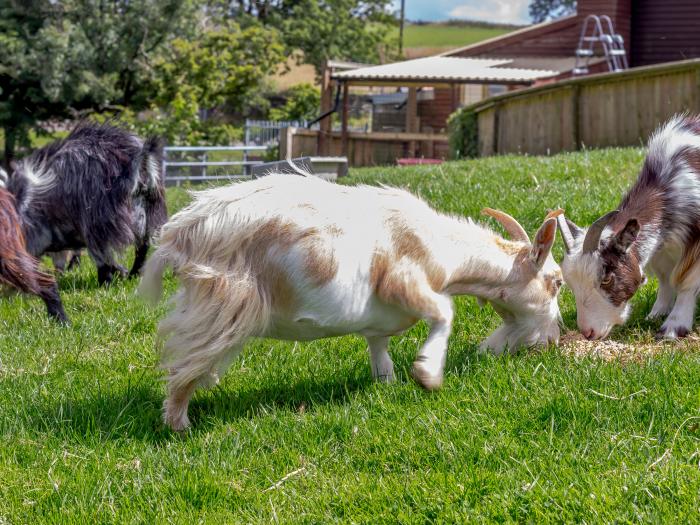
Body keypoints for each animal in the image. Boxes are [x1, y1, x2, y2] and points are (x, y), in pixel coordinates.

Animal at [2, 122, 167, 284]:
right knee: (142, 246)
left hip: (97, 222)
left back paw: (105, 283)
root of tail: (139, 161)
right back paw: (133, 274)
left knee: (103, 257)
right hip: (146, 212)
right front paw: (122, 272)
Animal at [138, 174, 564, 428]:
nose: (555, 339)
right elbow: (445, 311)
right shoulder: (403, 280)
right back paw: (180, 426)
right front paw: (427, 374)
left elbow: (380, 353)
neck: (444, 247)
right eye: (557, 282)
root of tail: (180, 233)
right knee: (183, 366)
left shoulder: (379, 323)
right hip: (223, 305)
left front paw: (389, 385)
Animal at [556, 113, 700, 340]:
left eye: (606, 279)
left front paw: (673, 328)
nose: (588, 332)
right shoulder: (662, 247)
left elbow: (686, 280)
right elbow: (665, 278)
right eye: (570, 282)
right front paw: (656, 313)